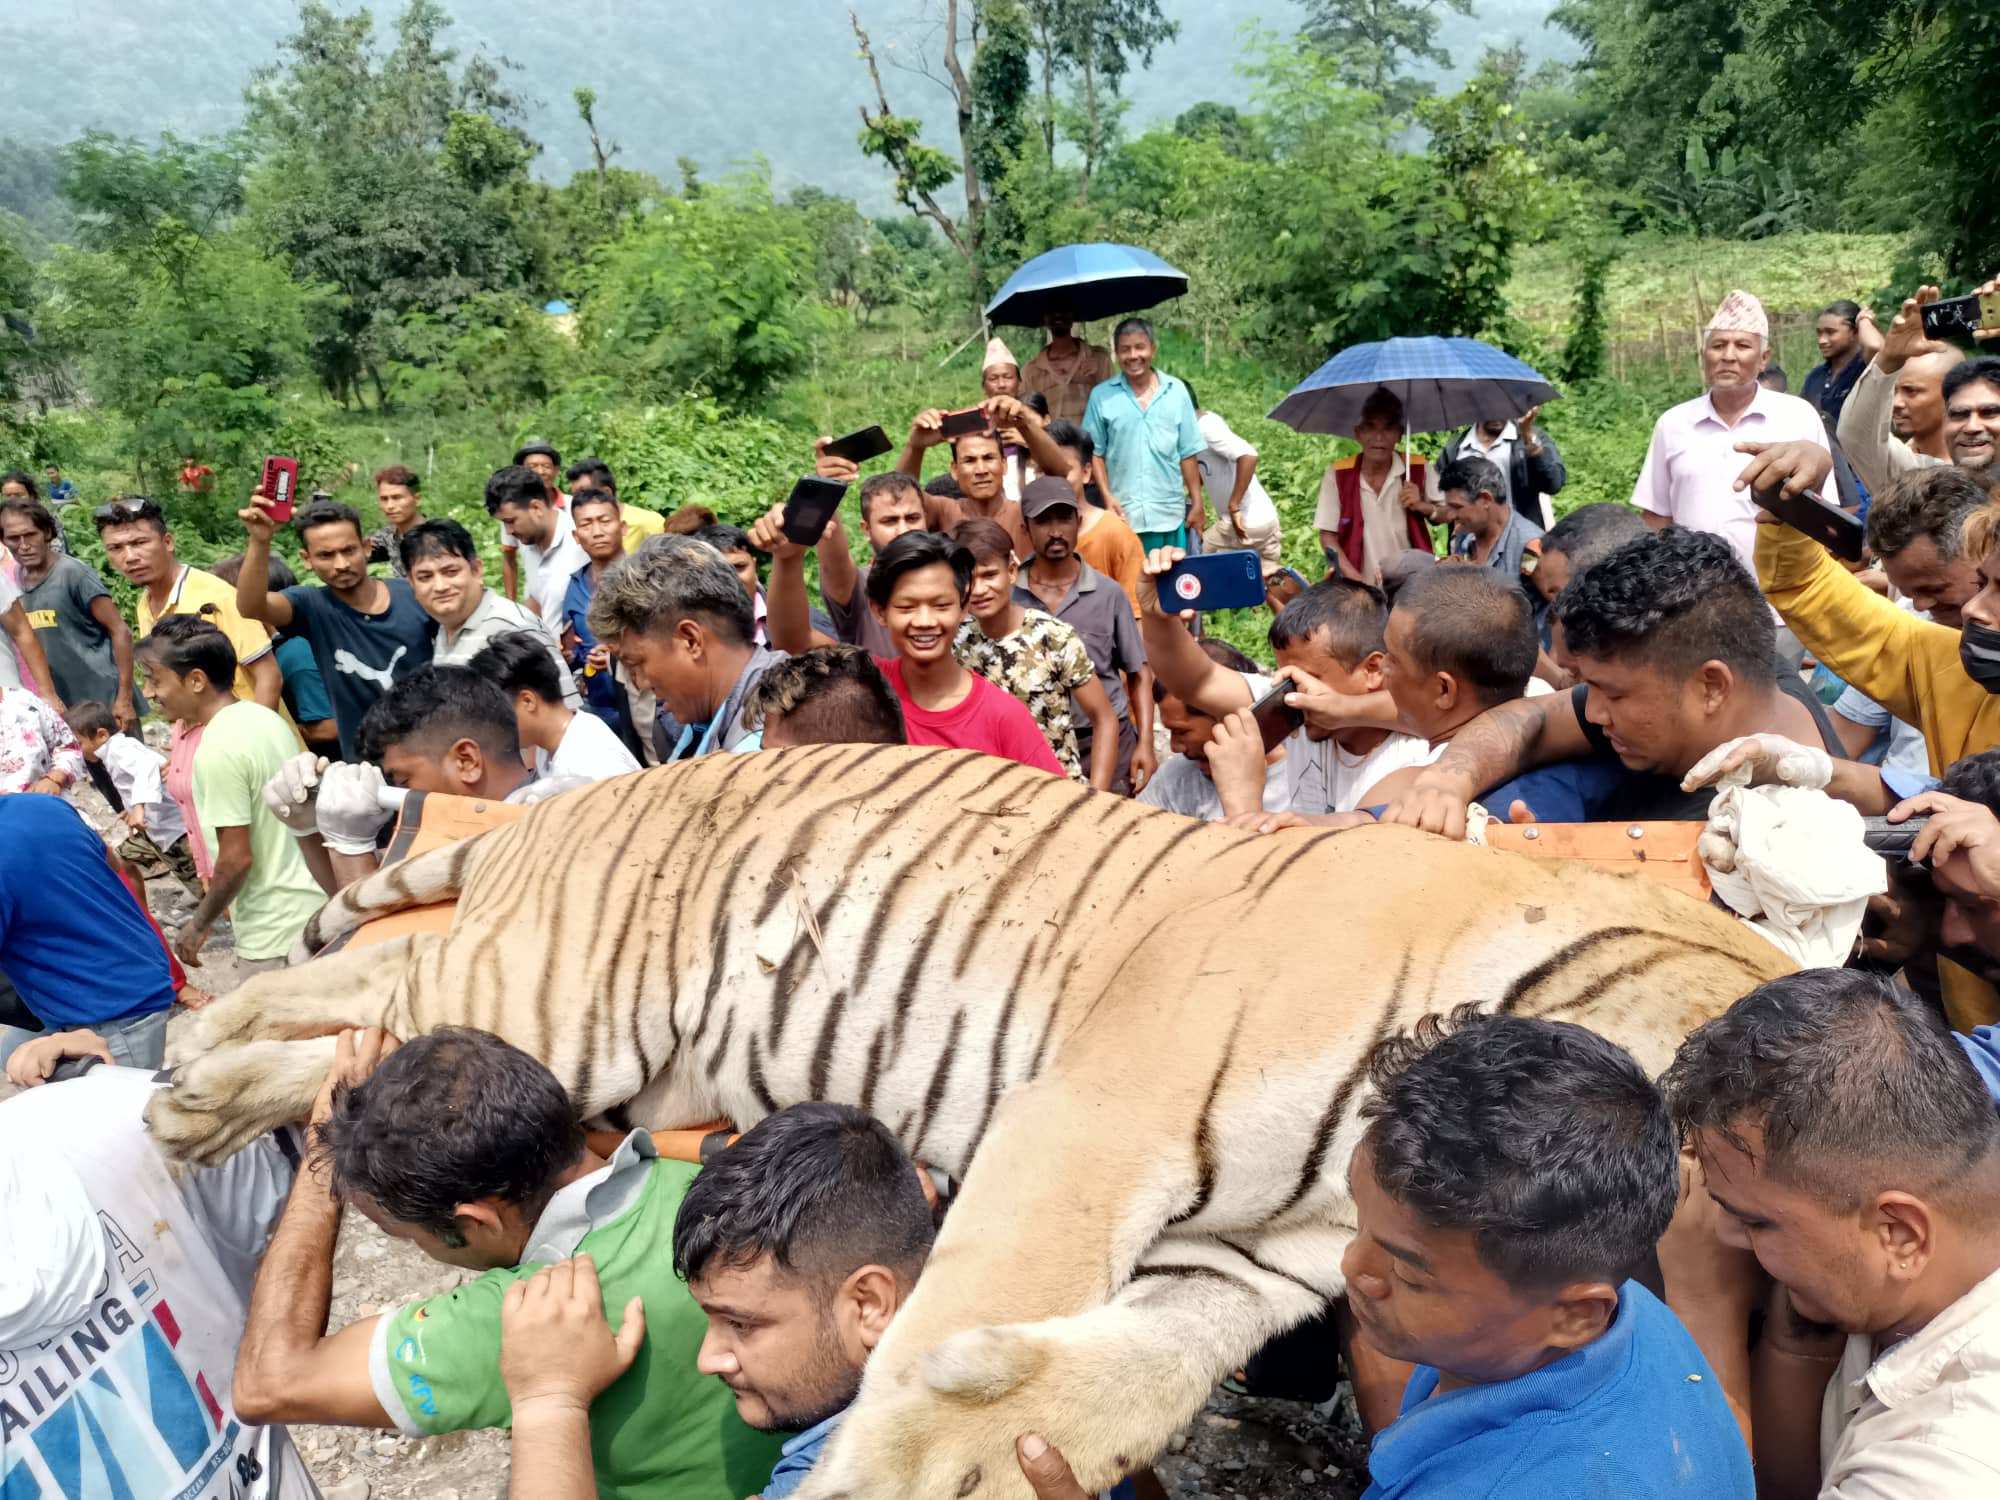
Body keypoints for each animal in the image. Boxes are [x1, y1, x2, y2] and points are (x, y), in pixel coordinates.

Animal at [148, 748, 1792, 1496]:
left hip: (605, 1038)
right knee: (359, 983)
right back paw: (189, 1074)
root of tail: (569, 803)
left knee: (360, 1016)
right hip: (560, 989)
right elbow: (971, 1314)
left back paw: (191, 1093)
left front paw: (992, 1432)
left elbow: (1111, 1377)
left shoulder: (1249, 1263)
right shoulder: (1093, 1124)